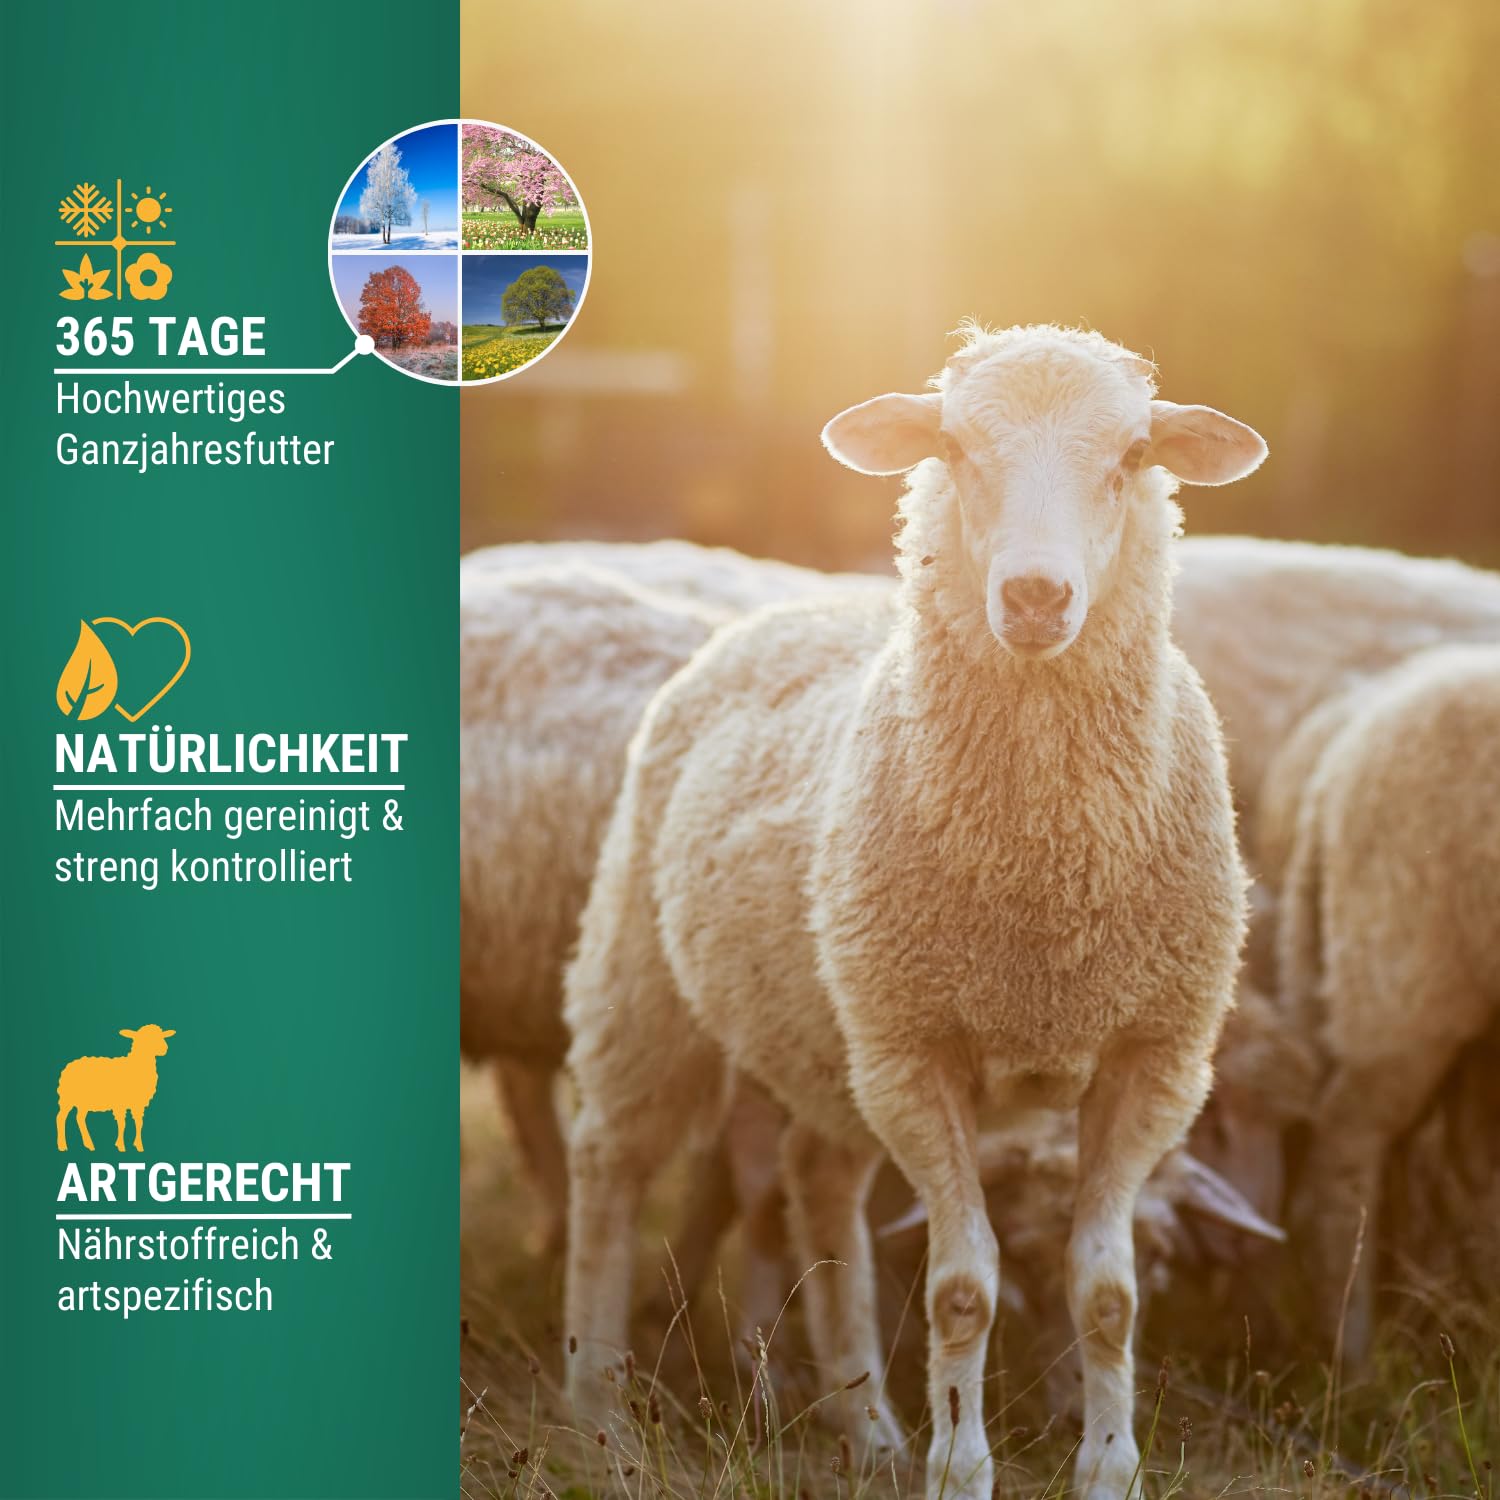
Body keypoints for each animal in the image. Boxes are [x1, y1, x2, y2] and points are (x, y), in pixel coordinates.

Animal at [563, 323, 1266, 1500]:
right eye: (956, 446)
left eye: (1133, 455)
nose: (1035, 597)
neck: (1046, 881)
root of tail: (795, 602)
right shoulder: (918, 1052)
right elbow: (964, 1291)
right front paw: (961, 1468)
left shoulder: (1153, 1059)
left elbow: (1109, 1294)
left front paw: (1107, 1468)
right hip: (648, 977)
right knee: (608, 1166)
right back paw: (599, 1408)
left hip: (829, 1037)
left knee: (817, 1185)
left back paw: (866, 1425)